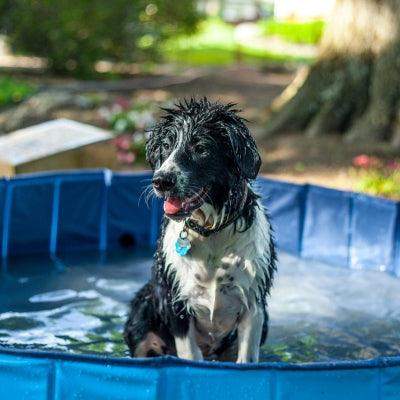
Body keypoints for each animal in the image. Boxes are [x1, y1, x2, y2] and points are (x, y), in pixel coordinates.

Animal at [123, 99, 276, 362]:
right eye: (166, 145)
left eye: (201, 148)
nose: (161, 181)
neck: (210, 231)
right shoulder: (175, 303)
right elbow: (190, 356)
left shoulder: (254, 306)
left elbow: (246, 357)